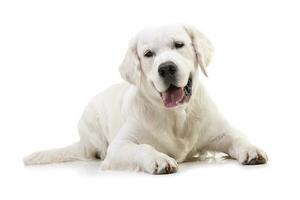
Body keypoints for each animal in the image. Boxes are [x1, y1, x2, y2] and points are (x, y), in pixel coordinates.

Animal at [22, 23, 268, 173]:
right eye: (148, 54)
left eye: (179, 45)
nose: (166, 68)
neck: (176, 116)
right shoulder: (119, 148)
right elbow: (143, 148)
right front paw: (160, 159)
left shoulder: (219, 132)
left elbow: (238, 137)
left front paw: (251, 149)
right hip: (91, 123)